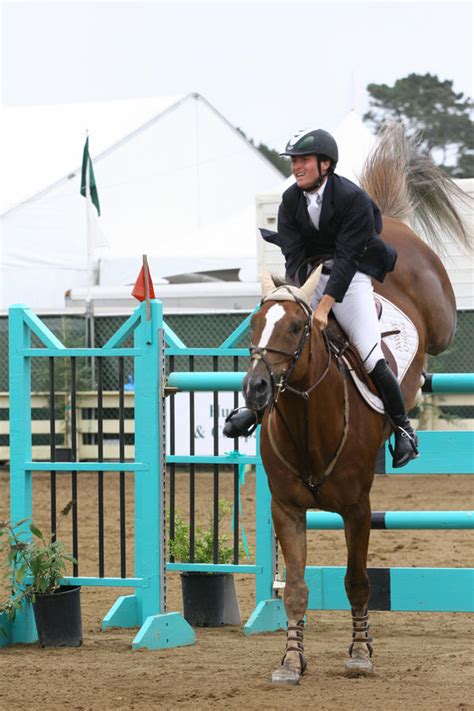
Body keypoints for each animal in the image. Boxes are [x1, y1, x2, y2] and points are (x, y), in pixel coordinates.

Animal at [244, 122, 470, 684]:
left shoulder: (358, 508)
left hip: (439, 313)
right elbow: (296, 588)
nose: (255, 390)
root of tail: (387, 220)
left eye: (298, 328)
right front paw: (291, 659)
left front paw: (361, 652)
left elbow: (358, 580)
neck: (308, 420)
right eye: (255, 326)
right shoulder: (286, 509)